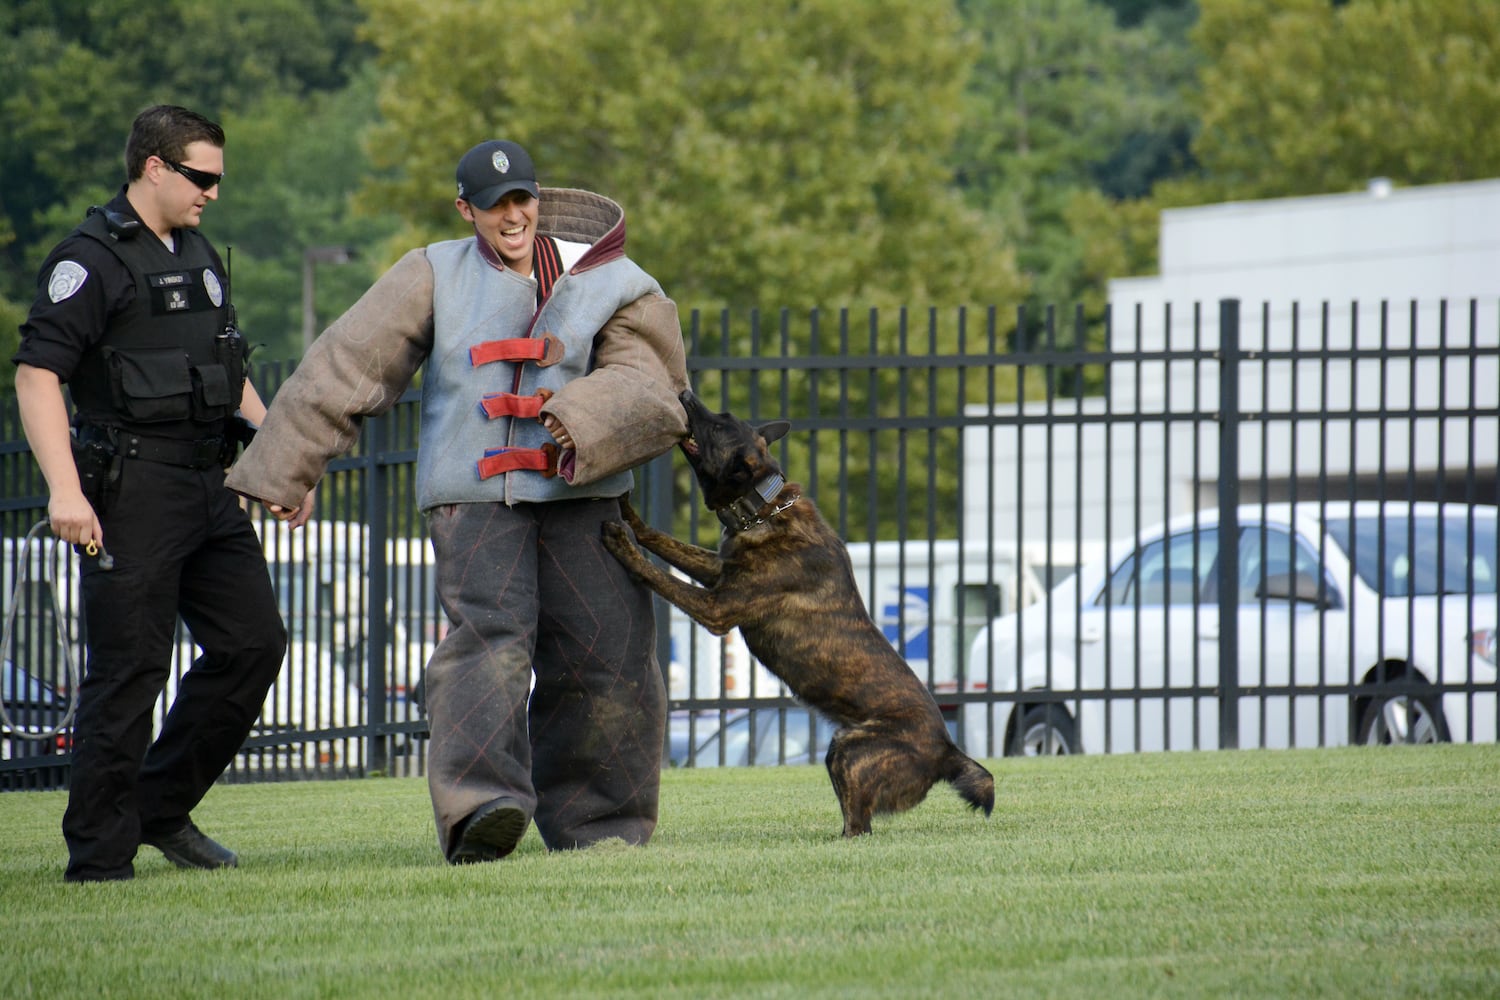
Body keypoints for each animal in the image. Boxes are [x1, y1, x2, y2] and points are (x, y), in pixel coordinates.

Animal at [597, 389, 996, 839]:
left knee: (860, 827)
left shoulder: (717, 609)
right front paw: (631, 517)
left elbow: (658, 575)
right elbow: (665, 543)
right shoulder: (718, 572)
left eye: (717, 425)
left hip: (850, 752)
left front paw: (623, 544)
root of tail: (949, 750)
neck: (766, 506)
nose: (685, 394)